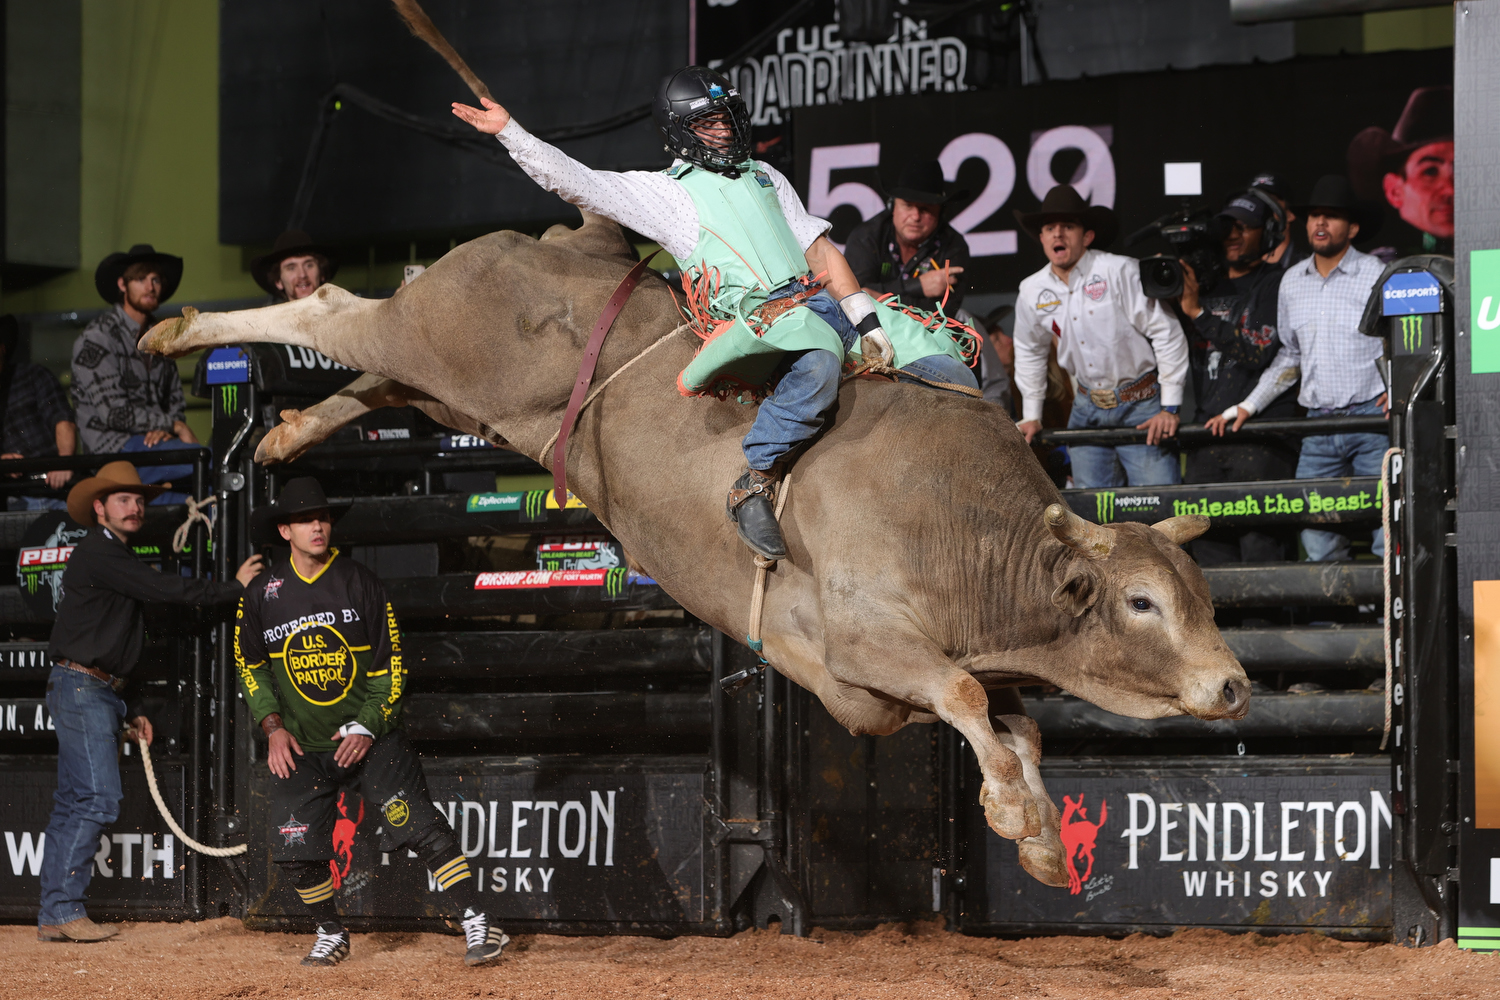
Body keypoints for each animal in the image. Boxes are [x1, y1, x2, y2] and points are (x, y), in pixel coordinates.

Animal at [138, 212, 1254, 893]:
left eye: (1202, 598)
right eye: (1144, 603)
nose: (1234, 685)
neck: (964, 531)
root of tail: (559, 237)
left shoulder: (912, 678)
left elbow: (1014, 724)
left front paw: (1037, 838)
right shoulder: (858, 646)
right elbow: (972, 696)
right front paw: (1020, 819)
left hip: (453, 392)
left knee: (371, 380)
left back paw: (282, 435)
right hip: (434, 334)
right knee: (336, 313)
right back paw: (177, 333)